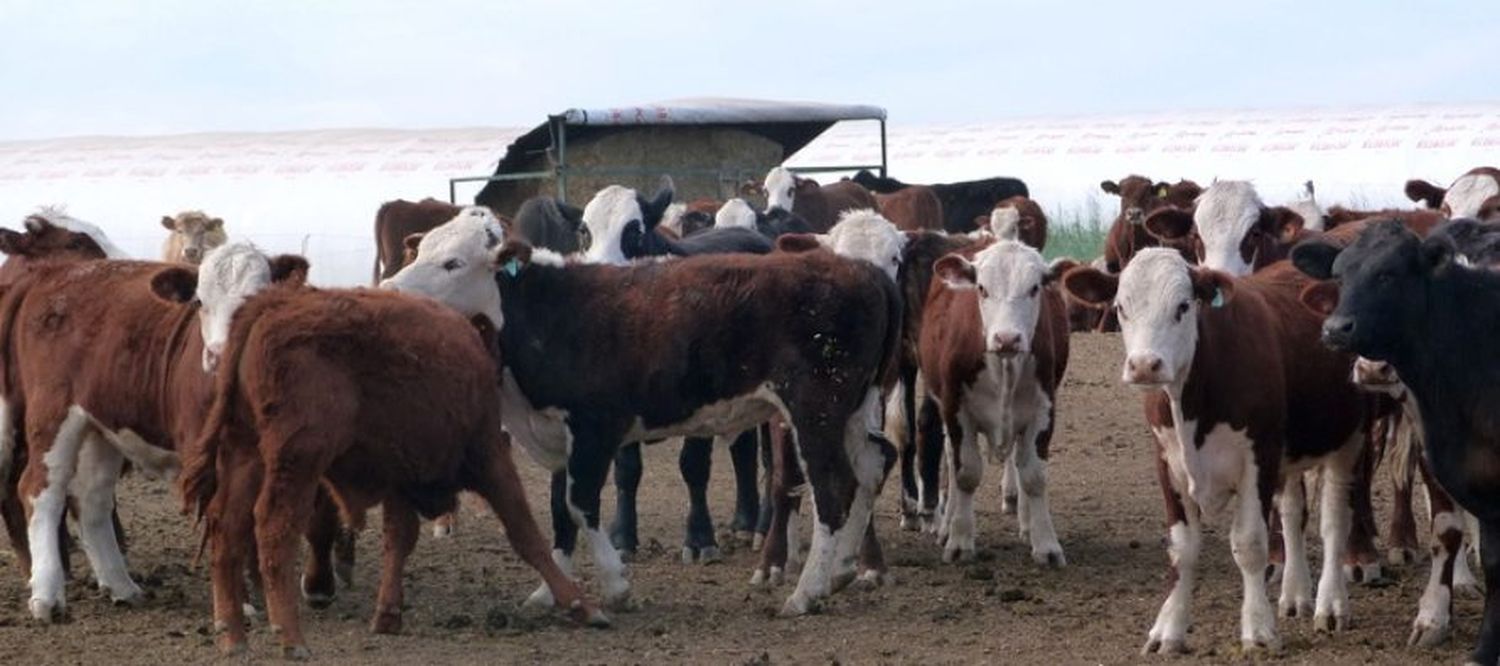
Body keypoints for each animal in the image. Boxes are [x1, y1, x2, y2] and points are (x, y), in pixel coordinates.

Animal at [918, 237, 1074, 564]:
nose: (1007, 338)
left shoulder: (1043, 411)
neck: (1003, 365)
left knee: (1019, 457)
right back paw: (946, 526)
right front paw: (960, 541)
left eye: (1034, 288)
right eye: (982, 288)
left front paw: (1046, 544)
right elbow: (966, 473)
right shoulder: (956, 410)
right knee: (951, 460)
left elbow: (1034, 476)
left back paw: (1026, 524)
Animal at [1068, 250, 1374, 657]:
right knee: (1293, 514)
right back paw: (1296, 594)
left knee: (1335, 521)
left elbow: (1250, 545)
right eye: (1121, 307)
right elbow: (1182, 549)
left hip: (1350, 439)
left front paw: (1258, 630)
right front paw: (1169, 629)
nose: (1145, 365)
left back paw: (1331, 603)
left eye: (1183, 306)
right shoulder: (1167, 462)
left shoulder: (1259, 457)